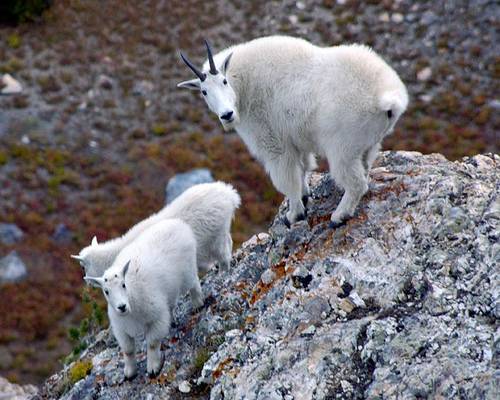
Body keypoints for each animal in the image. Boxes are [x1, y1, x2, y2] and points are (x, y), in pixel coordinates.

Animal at [72, 181, 240, 278]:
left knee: (223, 255)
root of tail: (229, 194)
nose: (86, 281)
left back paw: (223, 272)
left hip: (216, 236)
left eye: (82, 267)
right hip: (222, 231)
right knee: (229, 243)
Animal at [178, 36, 408, 227]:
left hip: (343, 147)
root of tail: (388, 97)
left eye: (224, 81)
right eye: (204, 91)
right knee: (365, 170)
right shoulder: (296, 140)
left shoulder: (273, 143)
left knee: (355, 182)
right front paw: (306, 195)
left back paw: (338, 216)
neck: (244, 86)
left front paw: (294, 214)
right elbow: (304, 167)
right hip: (368, 143)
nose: (227, 115)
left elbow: (287, 179)